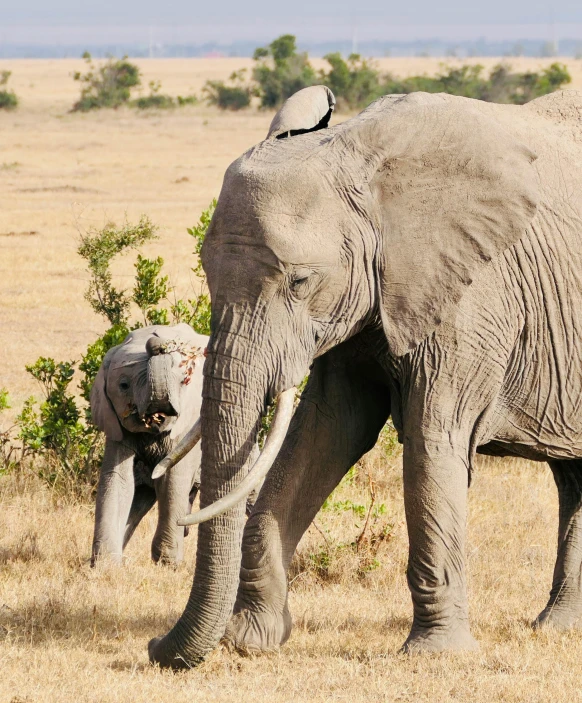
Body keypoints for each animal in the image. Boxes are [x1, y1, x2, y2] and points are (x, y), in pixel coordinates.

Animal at [91, 324, 208, 568]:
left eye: (184, 381)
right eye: (124, 385)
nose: (159, 343)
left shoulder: (187, 422)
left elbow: (172, 478)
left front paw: (167, 565)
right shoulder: (116, 424)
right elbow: (118, 479)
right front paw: (105, 566)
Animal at [149, 85, 582, 668]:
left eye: (300, 282)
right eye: (208, 276)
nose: (154, 646)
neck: (357, 162)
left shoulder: (474, 295)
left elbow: (430, 443)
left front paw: (436, 655)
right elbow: (326, 431)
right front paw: (252, 640)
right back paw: (558, 628)